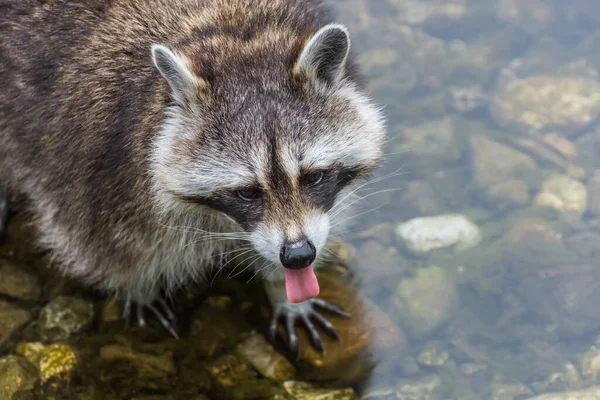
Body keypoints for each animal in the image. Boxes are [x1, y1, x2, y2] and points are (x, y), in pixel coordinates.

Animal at [0, 0, 384, 350]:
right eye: (247, 192)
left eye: (313, 177)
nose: (299, 255)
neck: (229, 32)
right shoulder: (92, 163)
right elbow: (102, 246)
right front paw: (139, 287)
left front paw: (283, 289)